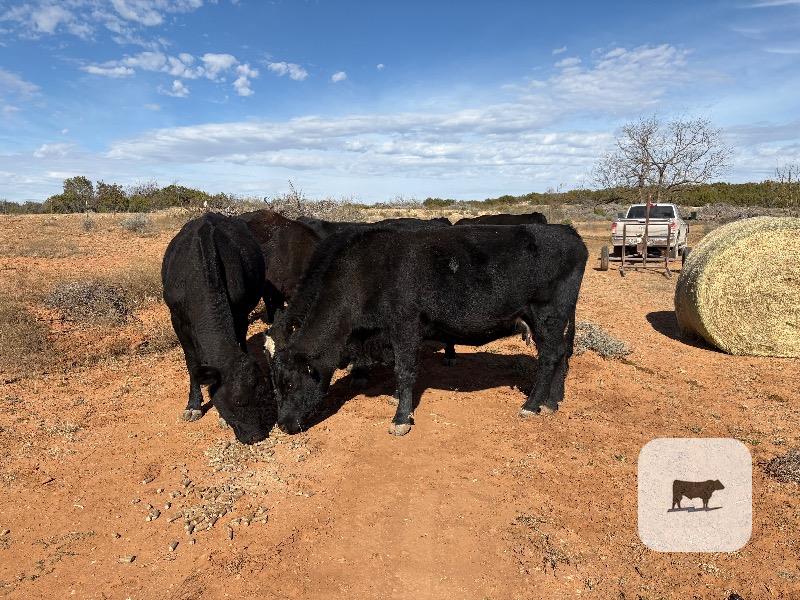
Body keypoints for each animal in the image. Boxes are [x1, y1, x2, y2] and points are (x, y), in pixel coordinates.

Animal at [162, 213, 272, 444]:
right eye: (236, 401)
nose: (256, 436)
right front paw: (193, 405)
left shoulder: (239, 311)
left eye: (262, 394)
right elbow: (191, 362)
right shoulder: (177, 320)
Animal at [270, 223, 588, 436]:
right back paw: (551, 401)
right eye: (276, 386)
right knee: (560, 353)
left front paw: (401, 419)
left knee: (550, 356)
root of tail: (568, 232)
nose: (283, 425)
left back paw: (532, 405)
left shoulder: (405, 324)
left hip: (547, 313)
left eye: (290, 384)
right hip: (554, 318)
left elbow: (405, 370)